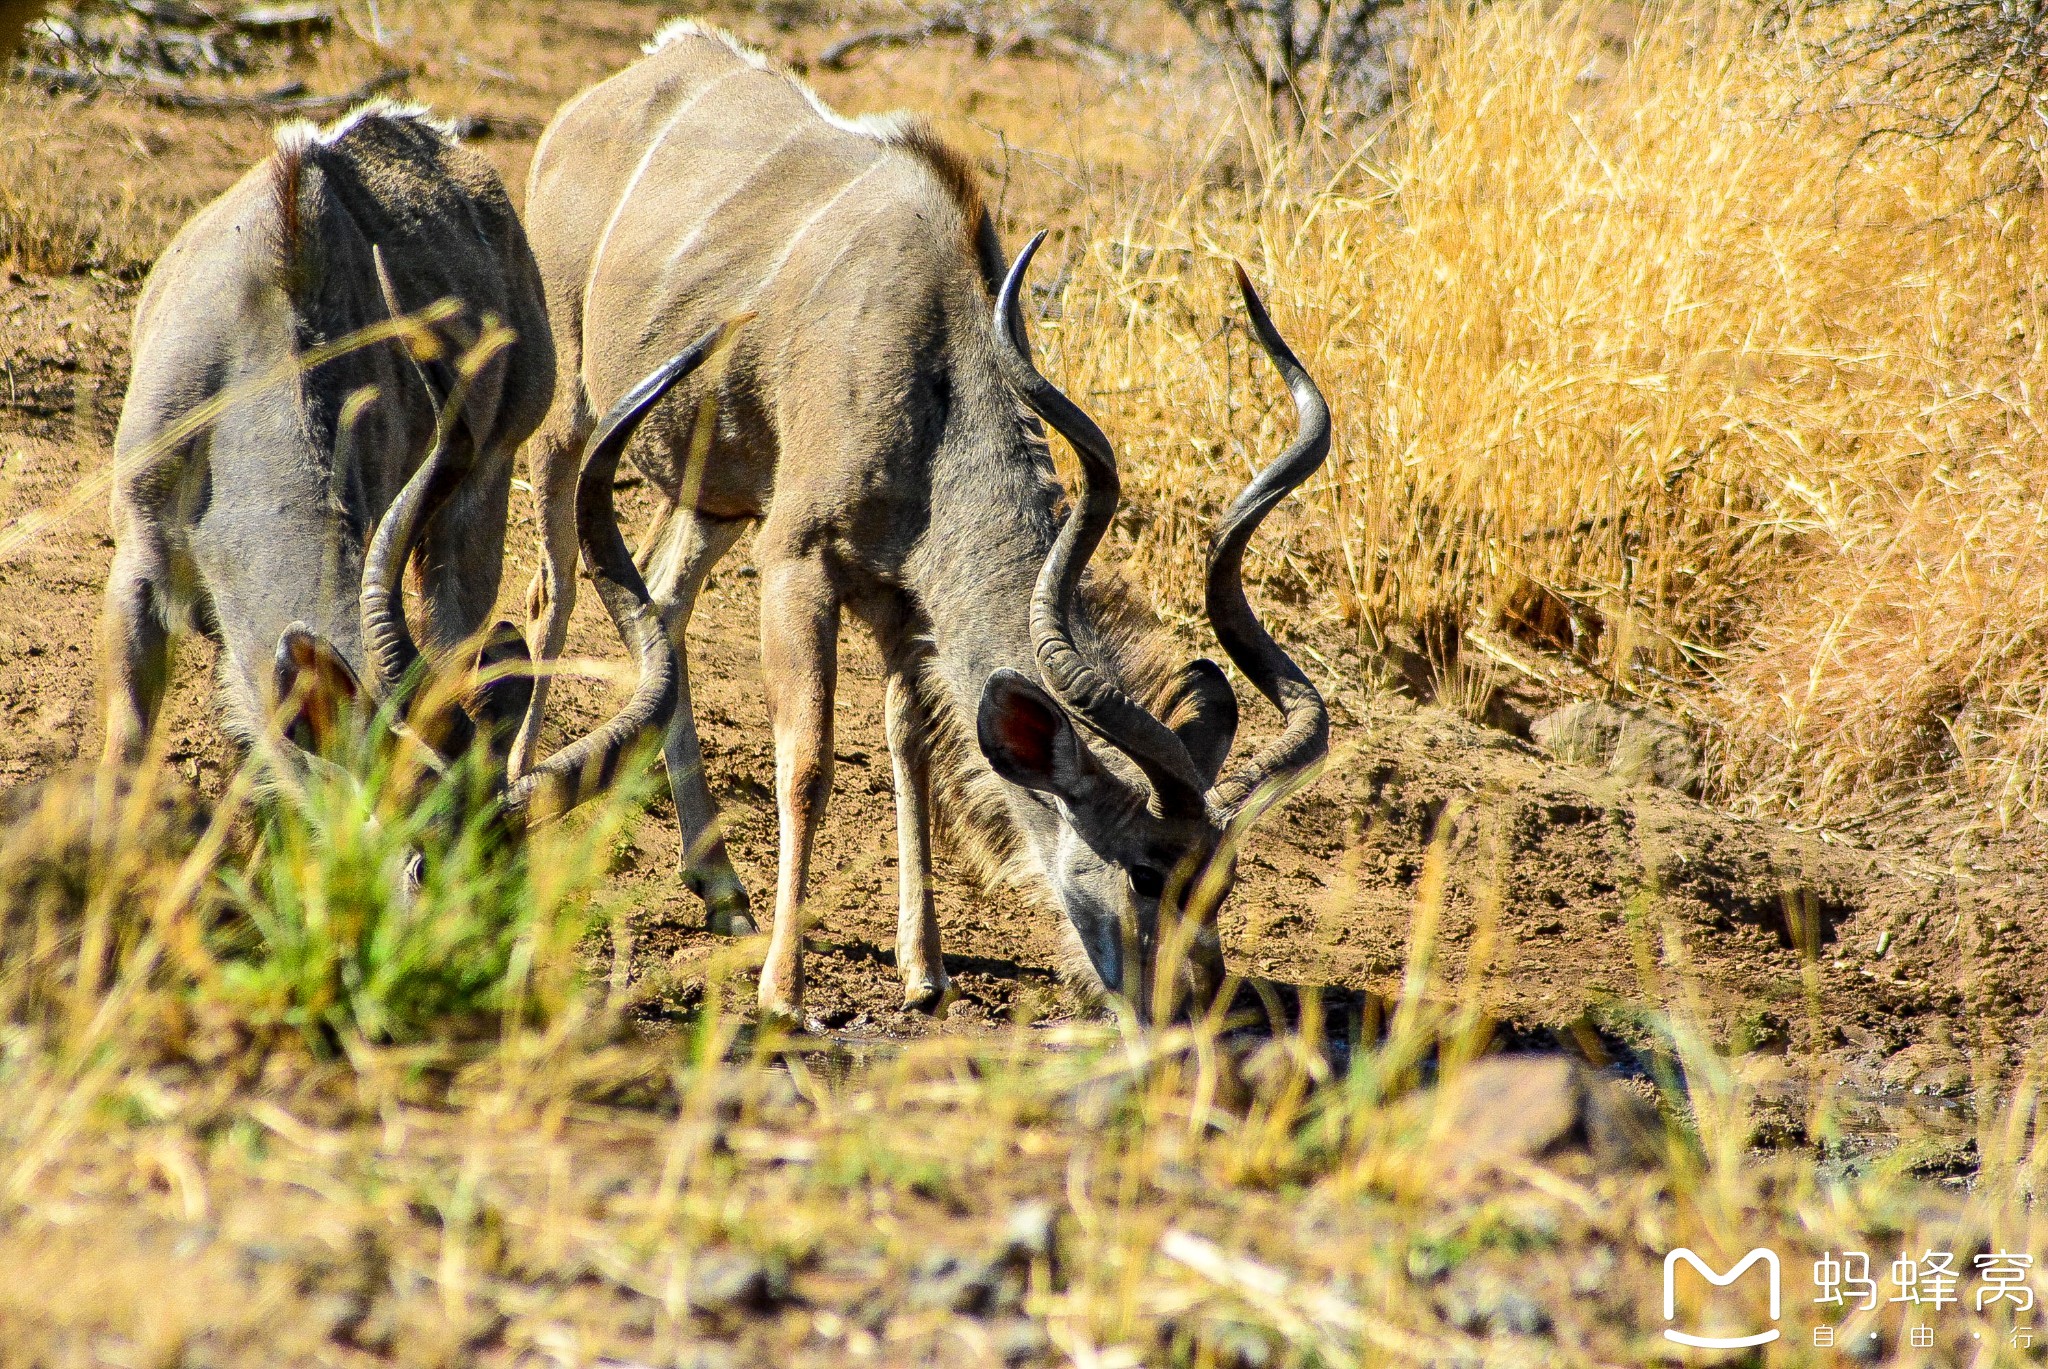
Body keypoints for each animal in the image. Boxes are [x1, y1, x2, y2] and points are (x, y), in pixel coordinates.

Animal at [520, 26, 1335, 1020]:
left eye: (1223, 880)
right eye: (1146, 872)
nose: (1190, 1001)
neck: (933, 365)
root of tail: (622, 82)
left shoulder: (905, 604)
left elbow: (909, 749)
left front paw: (925, 970)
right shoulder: (795, 559)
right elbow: (810, 761)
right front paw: (784, 989)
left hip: (712, 496)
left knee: (663, 600)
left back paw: (720, 886)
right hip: (571, 418)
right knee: (549, 592)